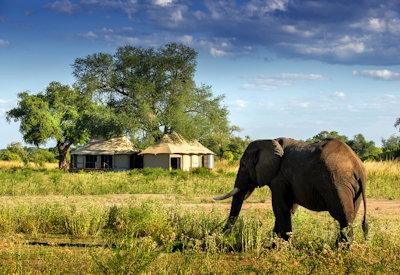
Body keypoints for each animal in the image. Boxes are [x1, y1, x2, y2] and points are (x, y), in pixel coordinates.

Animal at [214, 139, 368, 243]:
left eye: (243, 166)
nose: (222, 236)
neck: (270, 140)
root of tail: (357, 166)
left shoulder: (279, 178)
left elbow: (280, 208)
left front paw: (280, 246)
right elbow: (289, 208)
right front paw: (274, 245)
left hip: (338, 183)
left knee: (343, 216)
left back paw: (342, 250)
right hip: (354, 190)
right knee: (350, 215)